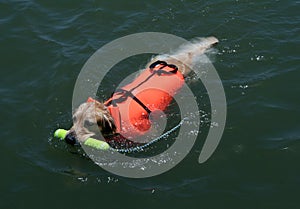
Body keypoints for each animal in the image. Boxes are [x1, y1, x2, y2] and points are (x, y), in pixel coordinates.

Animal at [65, 36, 219, 145]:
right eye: (74, 118)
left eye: (89, 123)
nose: (68, 138)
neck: (113, 113)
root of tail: (174, 63)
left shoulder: (147, 131)